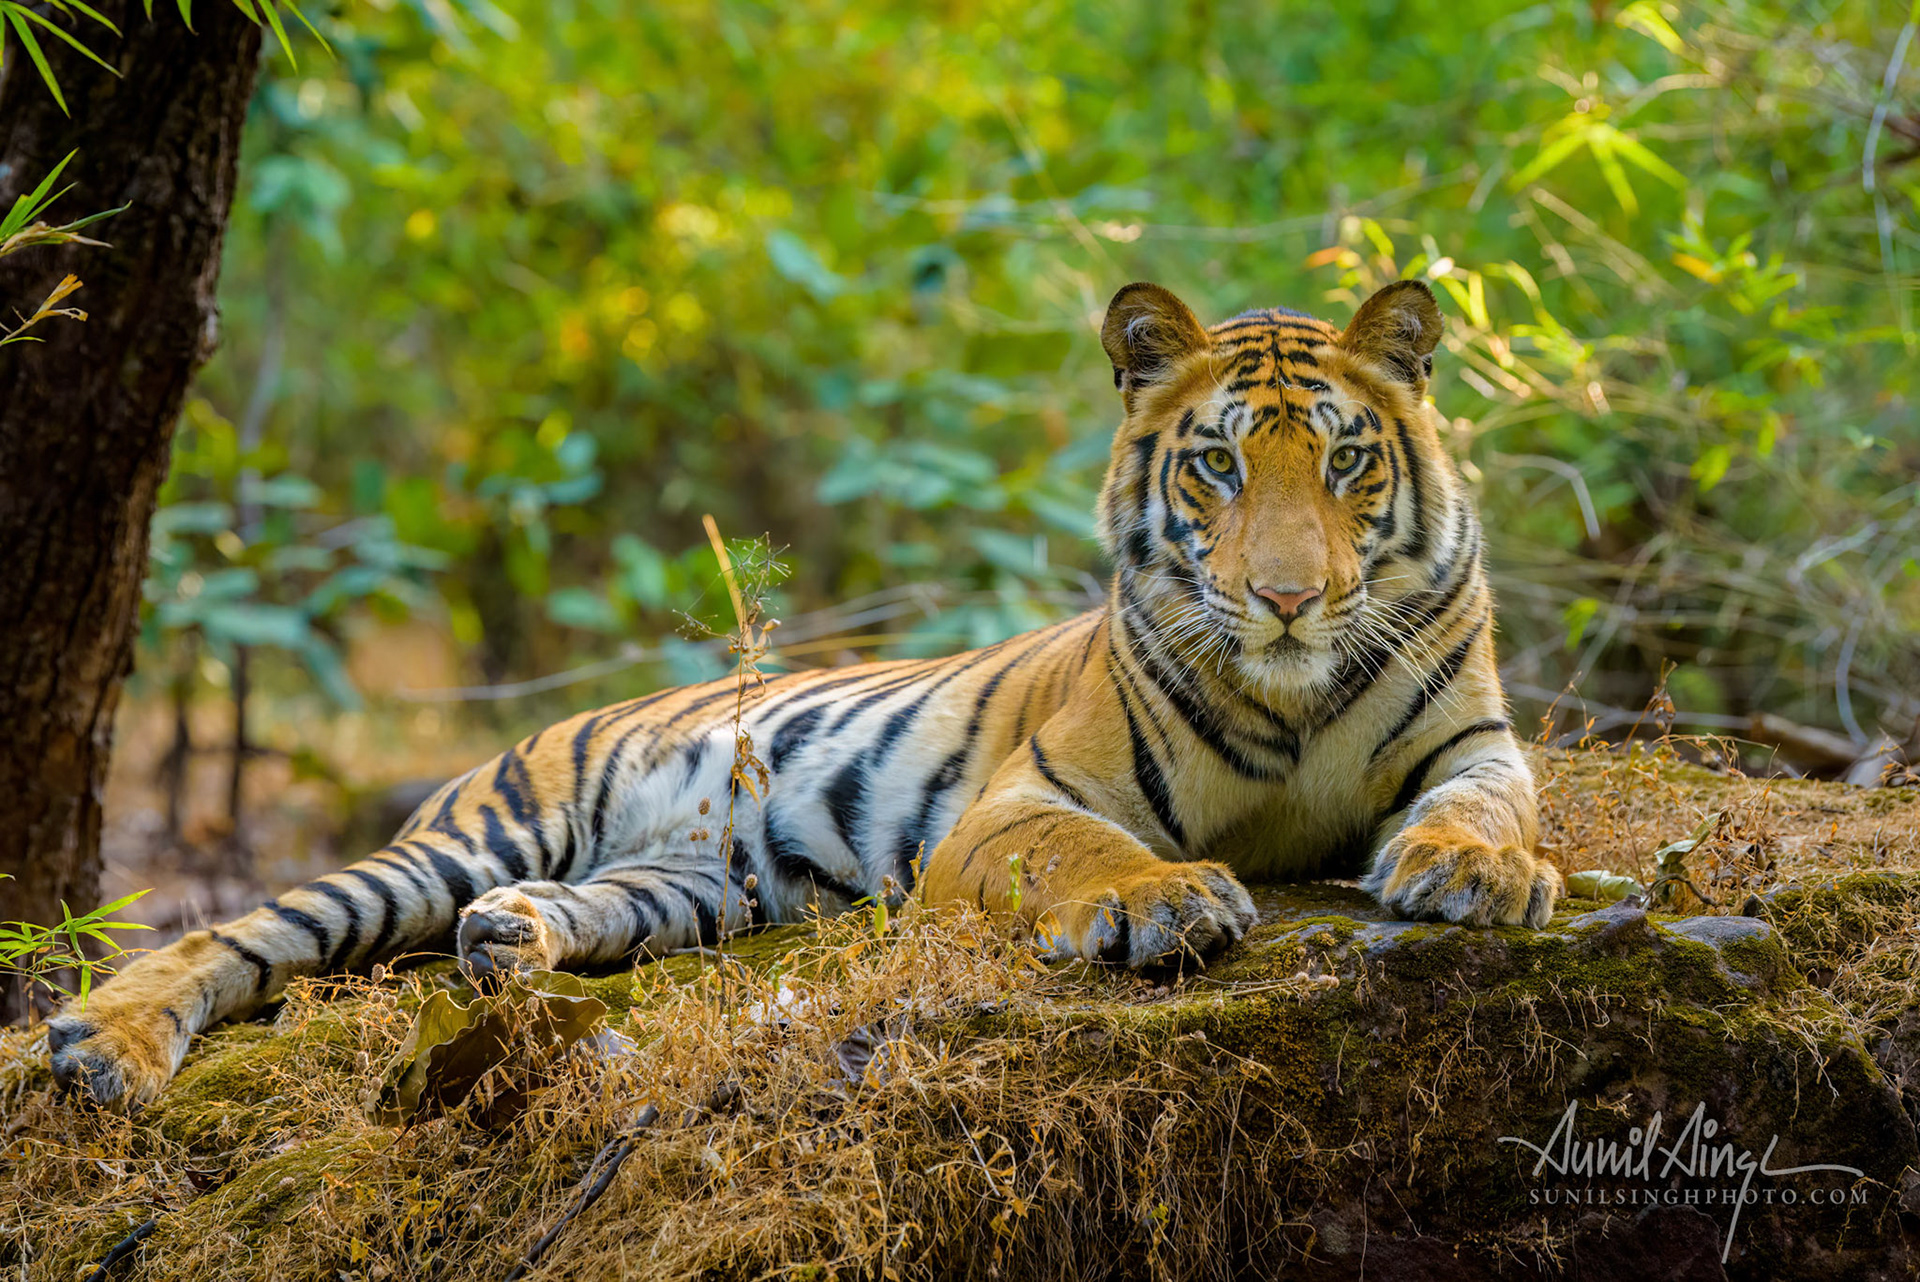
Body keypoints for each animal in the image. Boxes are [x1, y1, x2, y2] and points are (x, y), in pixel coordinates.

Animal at [47, 279, 1559, 1107]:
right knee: (238, 932)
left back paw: (510, 941)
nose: (1290, 598)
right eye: (1220, 465)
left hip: (695, 885)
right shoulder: (1022, 801)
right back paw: (102, 1043)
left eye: (1349, 461)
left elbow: (1492, 808)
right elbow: (1092, 849)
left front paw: (1475, 875)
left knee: (566, 913)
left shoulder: (1475, 739)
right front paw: (1167, 898)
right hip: (468, 834)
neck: (1294, 694)